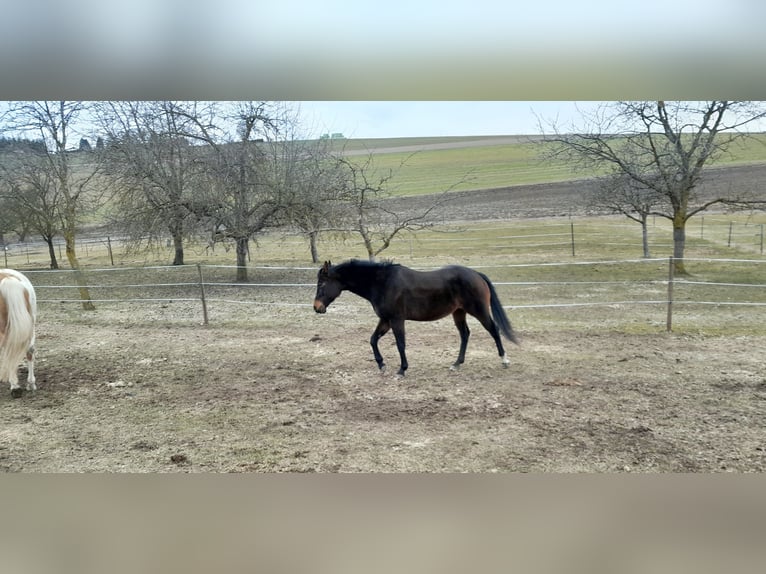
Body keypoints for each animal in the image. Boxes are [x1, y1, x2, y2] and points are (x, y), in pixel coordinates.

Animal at [313, 260, 518, 376]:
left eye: (322, 284)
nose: (316, 308)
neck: (382, 282)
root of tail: (476, 274)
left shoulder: (396, 320)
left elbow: (400, 344)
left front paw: (402, 370)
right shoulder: (385, 320)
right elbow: (373, 340)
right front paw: (381, 365)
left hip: (479, 310)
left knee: (494, 330)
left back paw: (504, 360)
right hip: (458, 312)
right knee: (465, 334)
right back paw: (456, 364)